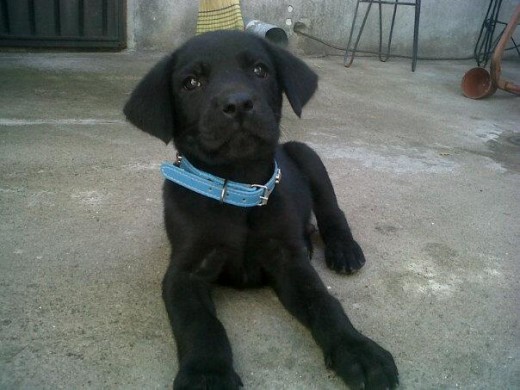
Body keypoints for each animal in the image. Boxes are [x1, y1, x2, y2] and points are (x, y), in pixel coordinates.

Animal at [123, 31, 398, 390]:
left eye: (259, 70)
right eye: (191, 82)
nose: (238, 104)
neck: (238, 188)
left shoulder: (288, 262)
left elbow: (324, 303)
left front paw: (358, 350)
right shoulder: (184, 274)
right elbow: (200, 325)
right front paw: (207, 374)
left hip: (306, 154)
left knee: (331, 213)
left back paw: (343, 249)